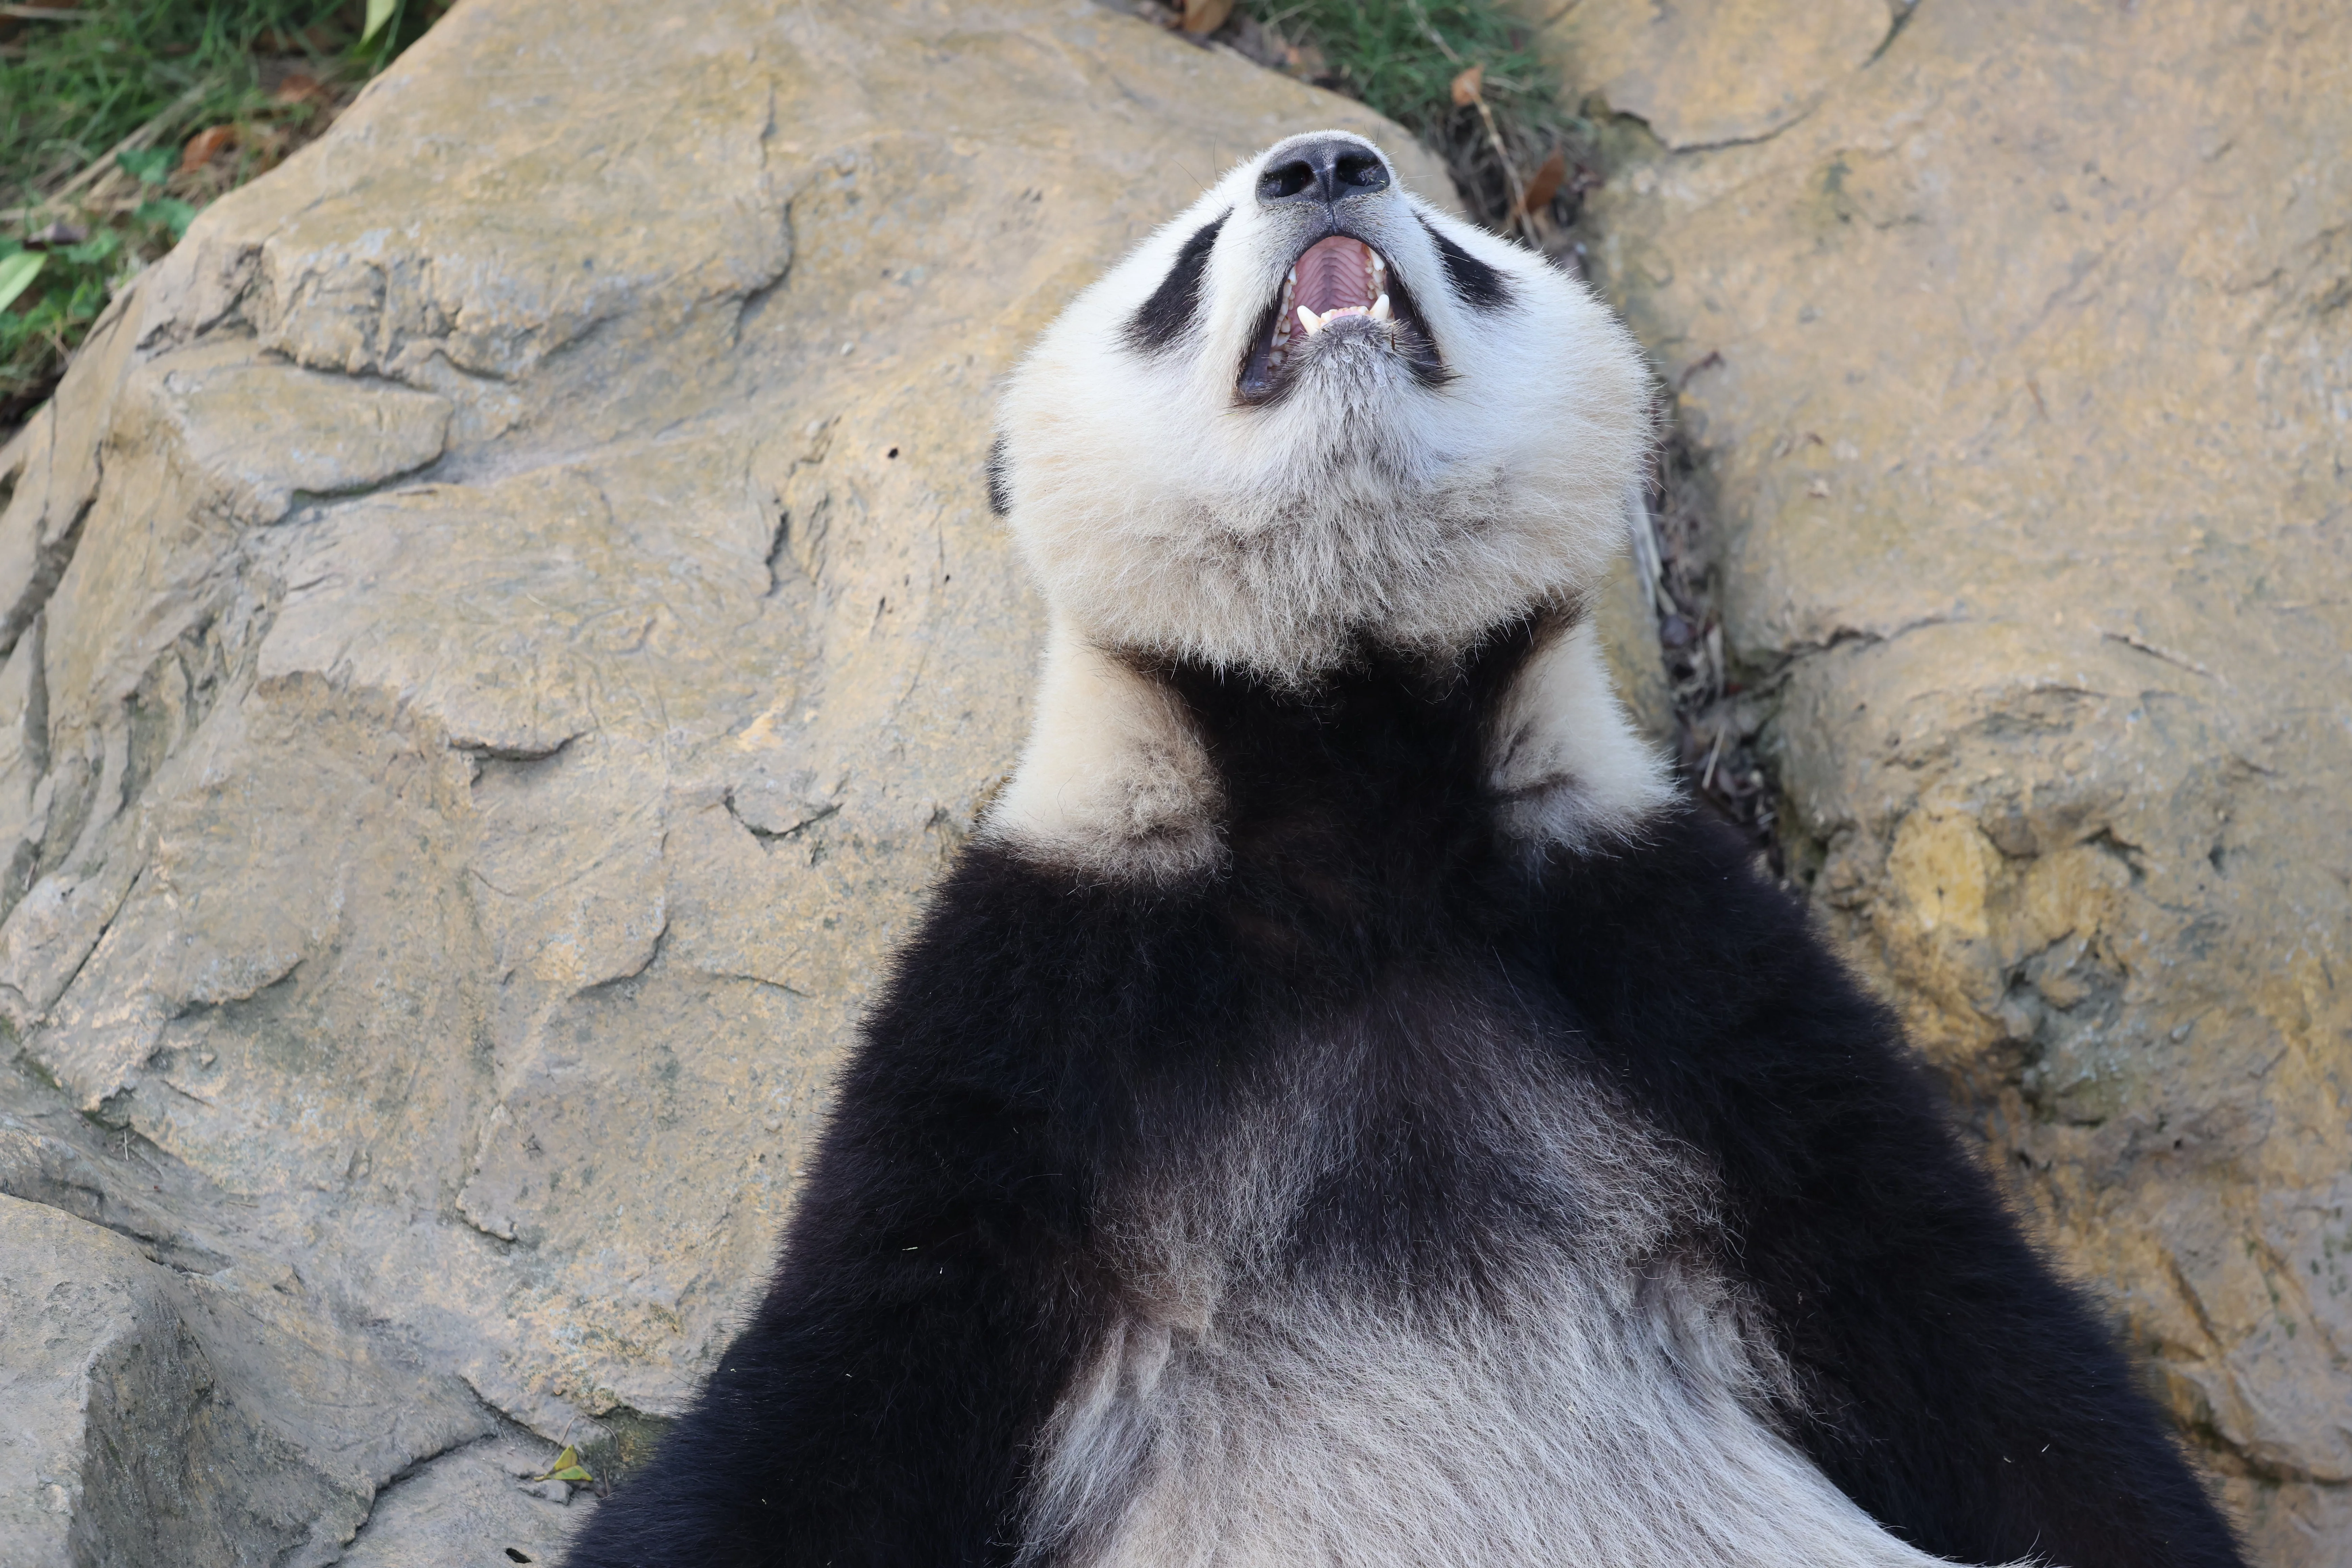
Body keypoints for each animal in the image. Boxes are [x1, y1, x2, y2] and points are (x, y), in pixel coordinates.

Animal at [563, 132, 2243, 1568]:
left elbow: (1953, 1309)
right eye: (1179, 268)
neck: (1350, 779)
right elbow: (851, 1371)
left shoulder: (1664, 947)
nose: (1323, 164)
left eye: (1463, 247)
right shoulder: (1040, 996)